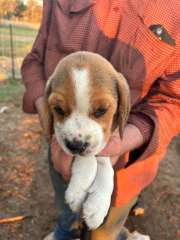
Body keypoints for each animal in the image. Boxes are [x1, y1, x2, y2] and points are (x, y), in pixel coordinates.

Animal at [43, 52, 130, 229]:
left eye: (101, 110)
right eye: (58, 109)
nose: (75, 146)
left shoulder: (105, 141)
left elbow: (104, 164)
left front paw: (98, 203)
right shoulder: (59, 138)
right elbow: (89, 160)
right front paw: (78, 192)